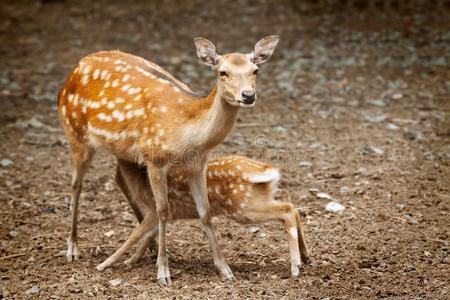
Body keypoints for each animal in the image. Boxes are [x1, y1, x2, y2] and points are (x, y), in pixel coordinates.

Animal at [57, 35, 280, 284]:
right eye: (222, 72)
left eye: (255, 70)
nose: (248, 96)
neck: (187, 136)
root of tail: (74, 70)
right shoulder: (155, 158)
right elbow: (164, 211)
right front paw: (163, 272)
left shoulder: (197, 164)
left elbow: (205, 212)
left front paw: (225, 270)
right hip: (75, 133)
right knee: (76, 185)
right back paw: (73, 248)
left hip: (123, 152)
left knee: (118, 179)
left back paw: (147, 247)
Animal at [96, 156, 312, 278]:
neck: (142, 180)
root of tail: (265, 171)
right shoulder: (166, 214)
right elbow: (148, 236)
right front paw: (131, 261)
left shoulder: (153, 210)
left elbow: (134, 235)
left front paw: (105, 264)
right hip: (254, 202)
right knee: (293, 208)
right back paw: (306, 257)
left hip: (243, 208)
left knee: (287, 211)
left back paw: (295, 266)